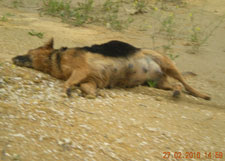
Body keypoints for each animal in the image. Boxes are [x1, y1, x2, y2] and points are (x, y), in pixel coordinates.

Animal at [12, 38, 210, 100]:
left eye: (28, 52)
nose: (13, 57)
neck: (57, 59)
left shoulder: (81, 70)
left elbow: (66, 83)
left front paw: (68, 90)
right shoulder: (90, 80)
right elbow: (86, 88)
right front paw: (91, 94)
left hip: (167, 64)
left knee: (185, 83)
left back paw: (202, 95)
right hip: (158, 83)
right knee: (177, 86)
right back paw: (176, 93)